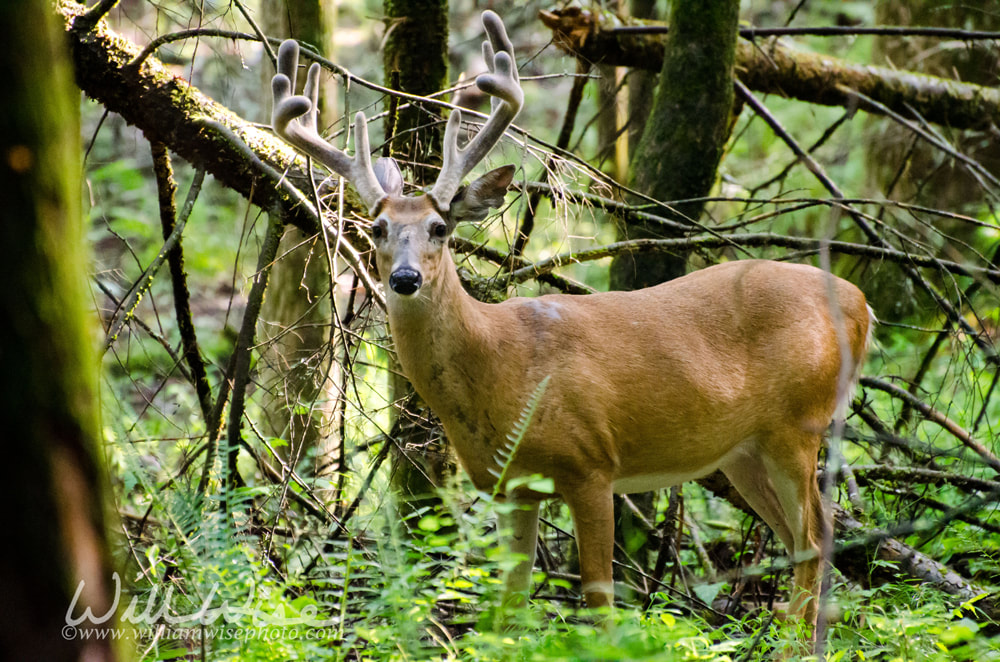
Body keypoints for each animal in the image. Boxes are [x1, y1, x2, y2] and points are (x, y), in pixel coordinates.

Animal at [270, 9, 872, 648]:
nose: (406, 278)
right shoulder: (510, 484)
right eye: (378, 228)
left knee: (815, 537)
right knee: (804, 539)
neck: (502, 364)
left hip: (797, 422)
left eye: (439, 227)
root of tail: (860, 305)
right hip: (743, 449)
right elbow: (508, 606)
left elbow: (600, 600)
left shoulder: (591, 463)